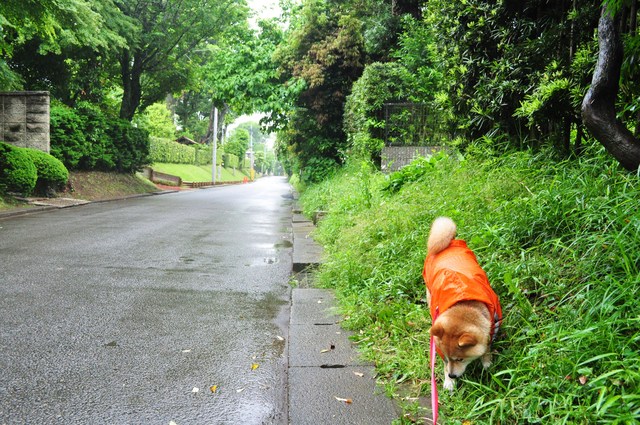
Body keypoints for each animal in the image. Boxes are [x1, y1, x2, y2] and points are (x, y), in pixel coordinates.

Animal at [422, 217, 502, 390]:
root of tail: (449, 243)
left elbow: (486, 348)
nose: (453, 375)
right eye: (447, 358)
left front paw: (487, 362)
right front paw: (448, 381)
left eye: (460, 359)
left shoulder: (491, 328)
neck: (464, 305)